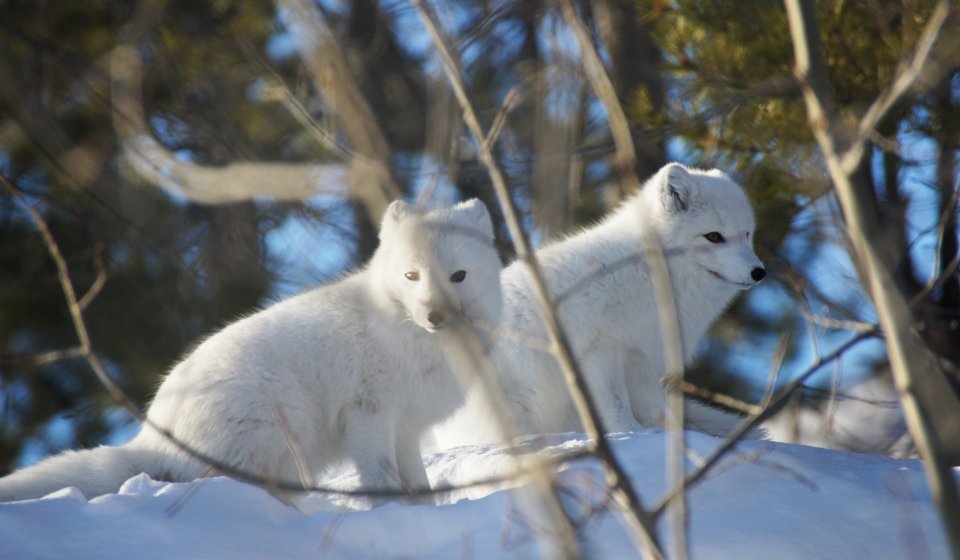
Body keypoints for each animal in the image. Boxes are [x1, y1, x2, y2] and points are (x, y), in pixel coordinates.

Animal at [0, 199, 506, 500]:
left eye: (458, 276)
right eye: (411, 276)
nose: (435, 316)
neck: (402, 331)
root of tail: (155, 438)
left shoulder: (407, 428)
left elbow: (417, 481)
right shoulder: (369, 415)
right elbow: (382, 479)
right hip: (279, 426)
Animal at [434, 164, 764, 448]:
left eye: (747, 234)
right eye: (713, 237)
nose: (759, 272)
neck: (650, 270)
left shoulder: (646, 362)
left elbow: (659, 411)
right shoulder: (601, 352)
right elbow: (616, 406)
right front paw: (632, 435)